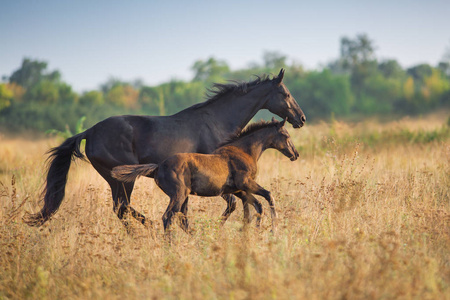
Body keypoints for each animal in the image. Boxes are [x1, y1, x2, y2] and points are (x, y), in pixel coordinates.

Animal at [24, 69, 306, 229]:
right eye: (286, 94)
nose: (301, 119)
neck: (216, 121)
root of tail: (89, 132)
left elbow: (198, 210)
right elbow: (231, 206)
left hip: (115, 180)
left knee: (121, 209)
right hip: (123, 179)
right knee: (122, 208)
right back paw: (147, 229)